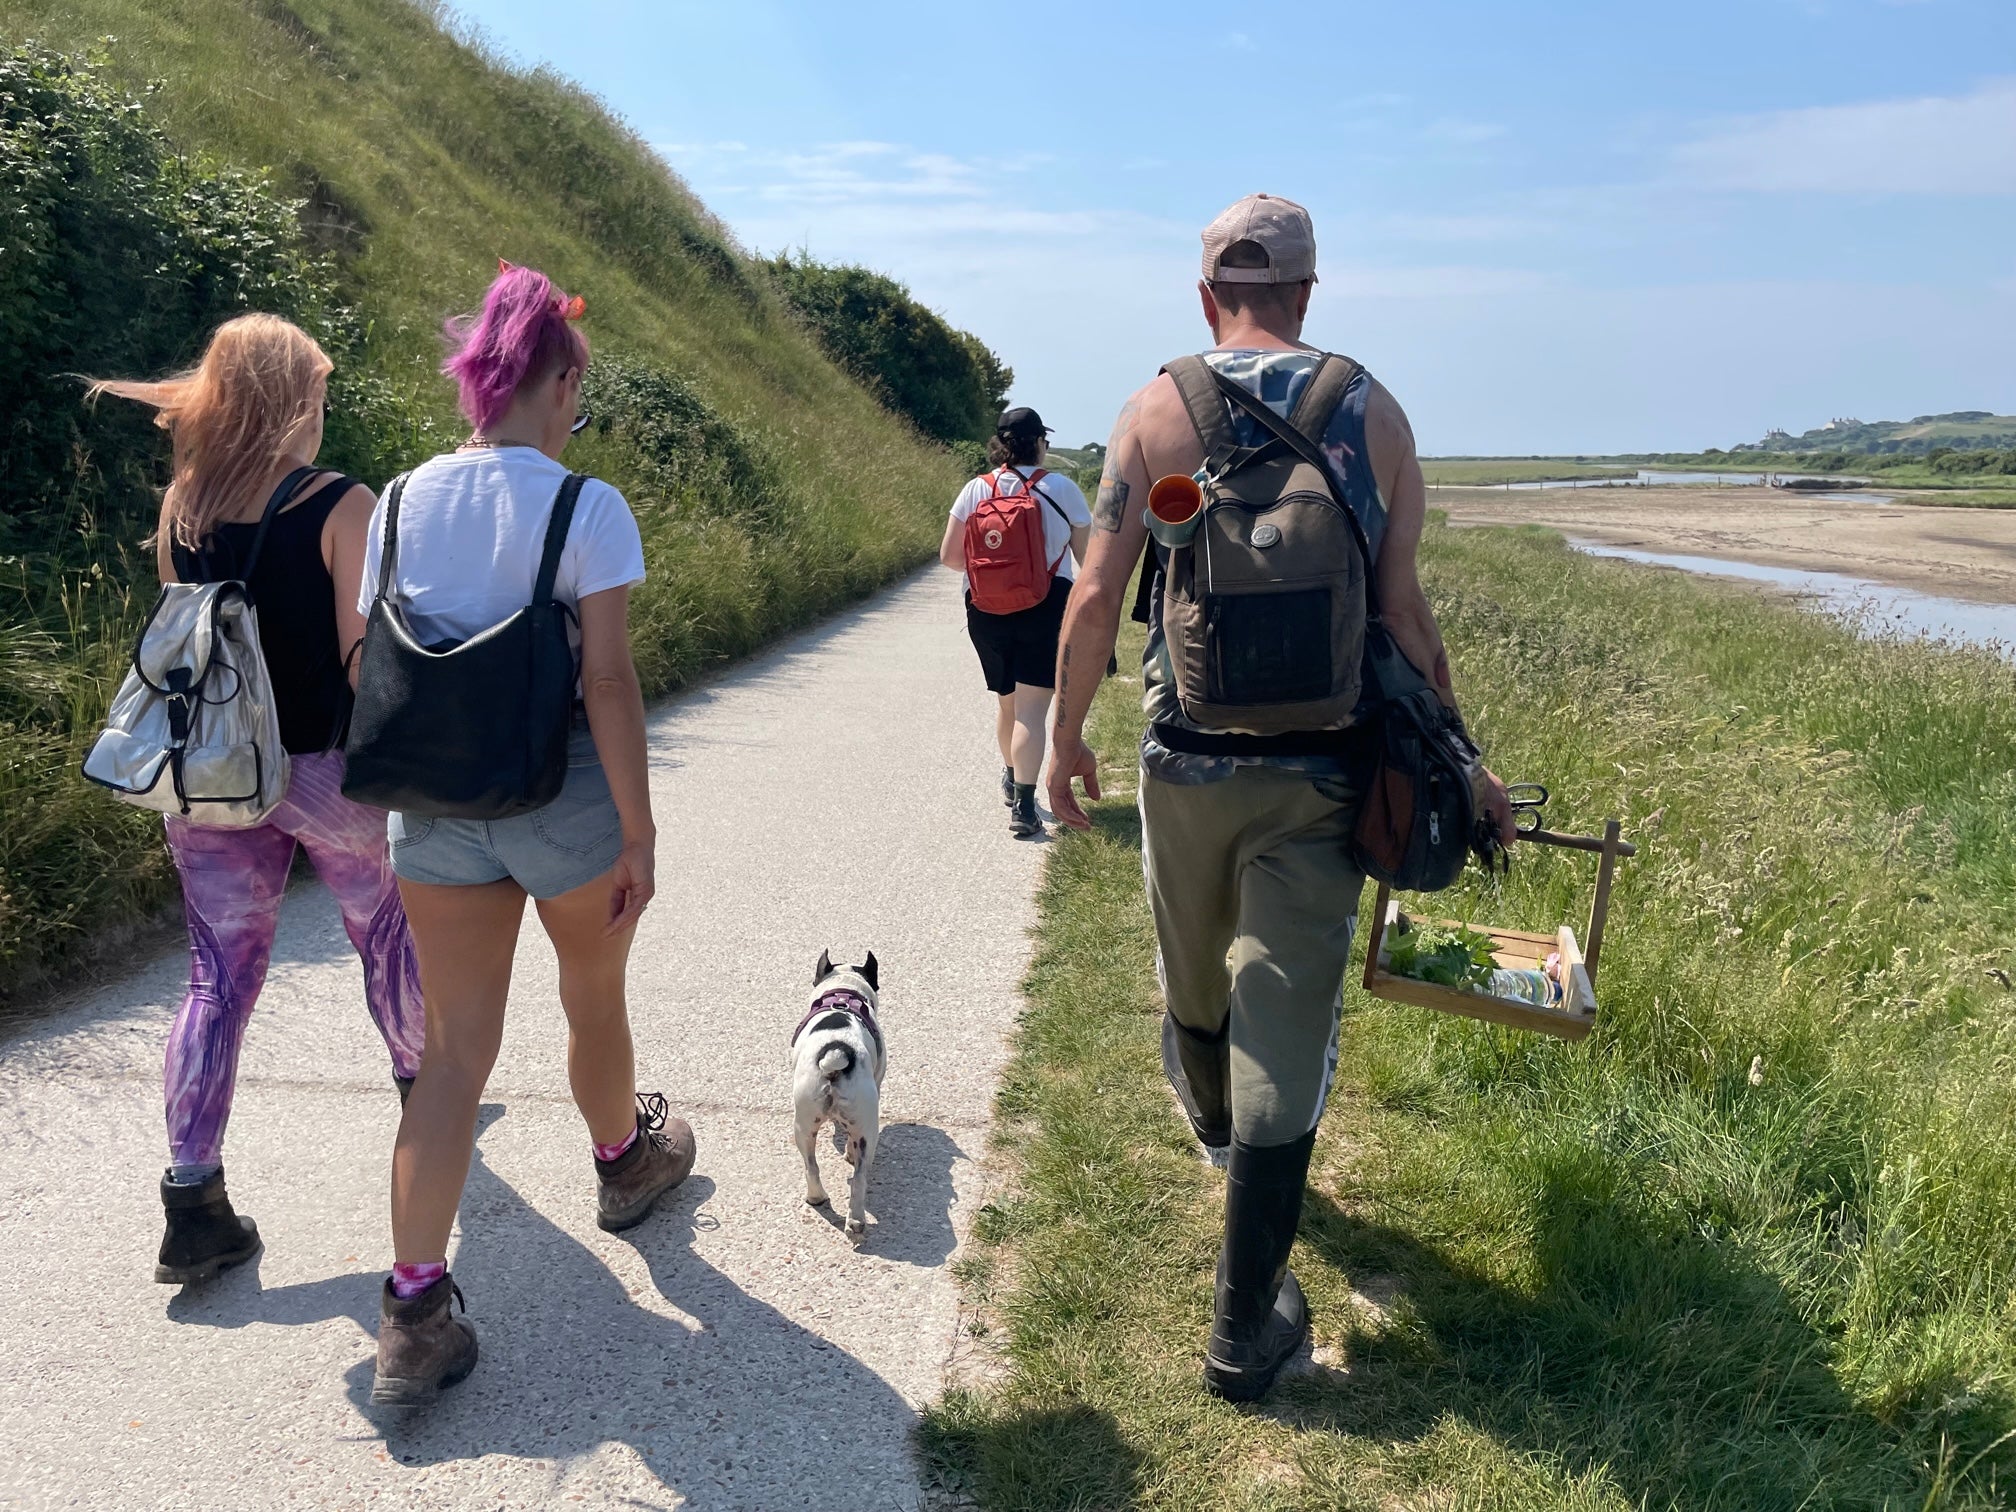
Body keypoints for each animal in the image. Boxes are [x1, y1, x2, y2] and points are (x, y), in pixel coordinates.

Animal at [786, 951, 883, 1233]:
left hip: (804, 1127)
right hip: (866, 1130)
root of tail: (836, 1051)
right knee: (858, 1174)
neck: (843, 992)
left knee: (814, 1167)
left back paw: (826, 1203)